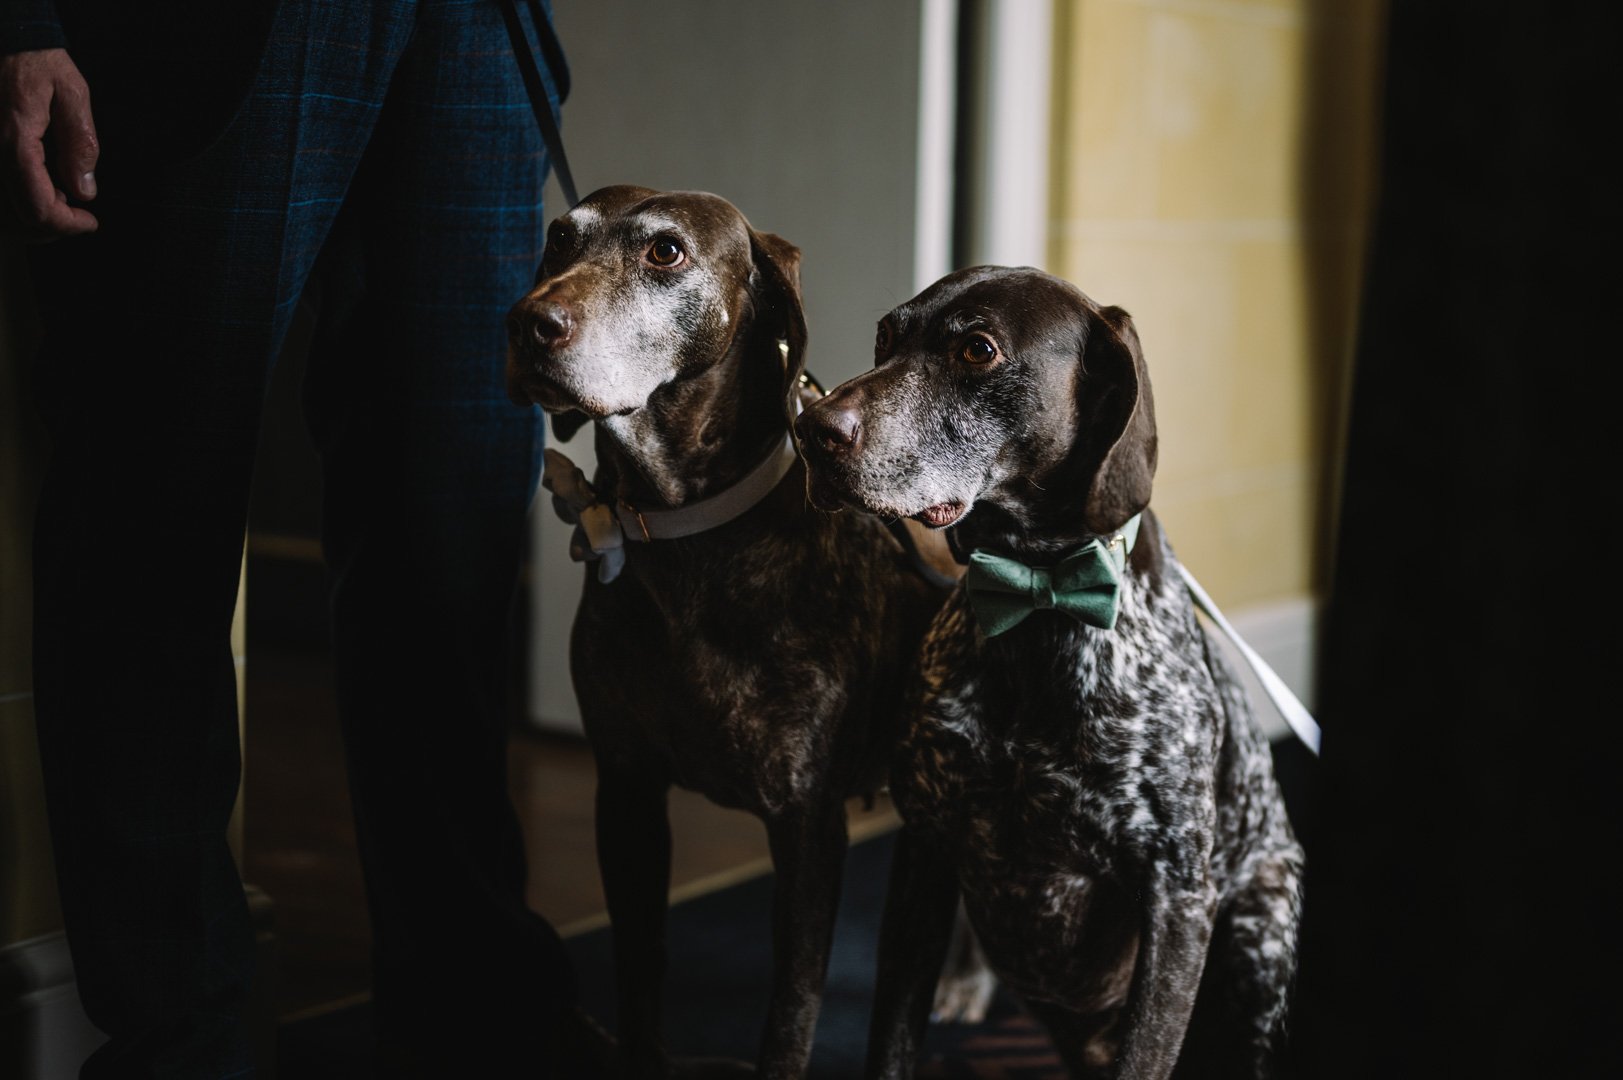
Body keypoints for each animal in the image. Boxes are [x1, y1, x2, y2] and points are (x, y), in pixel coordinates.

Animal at [506, 186, 951, 1079]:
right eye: (558, 239)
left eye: (665, 252)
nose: (528, 322)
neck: (684, 535)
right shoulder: (627, 792)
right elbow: (639, 971)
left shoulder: (808, 830)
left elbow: (791, 1011)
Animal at [795, 266, 1304, 1079]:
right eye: (885, 337)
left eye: (977, 350)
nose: (811, 431)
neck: (1037, 602)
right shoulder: (924, 857)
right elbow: (892, 1044)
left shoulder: (1178, 900)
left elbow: (1145, 1056)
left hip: (1262, 928)